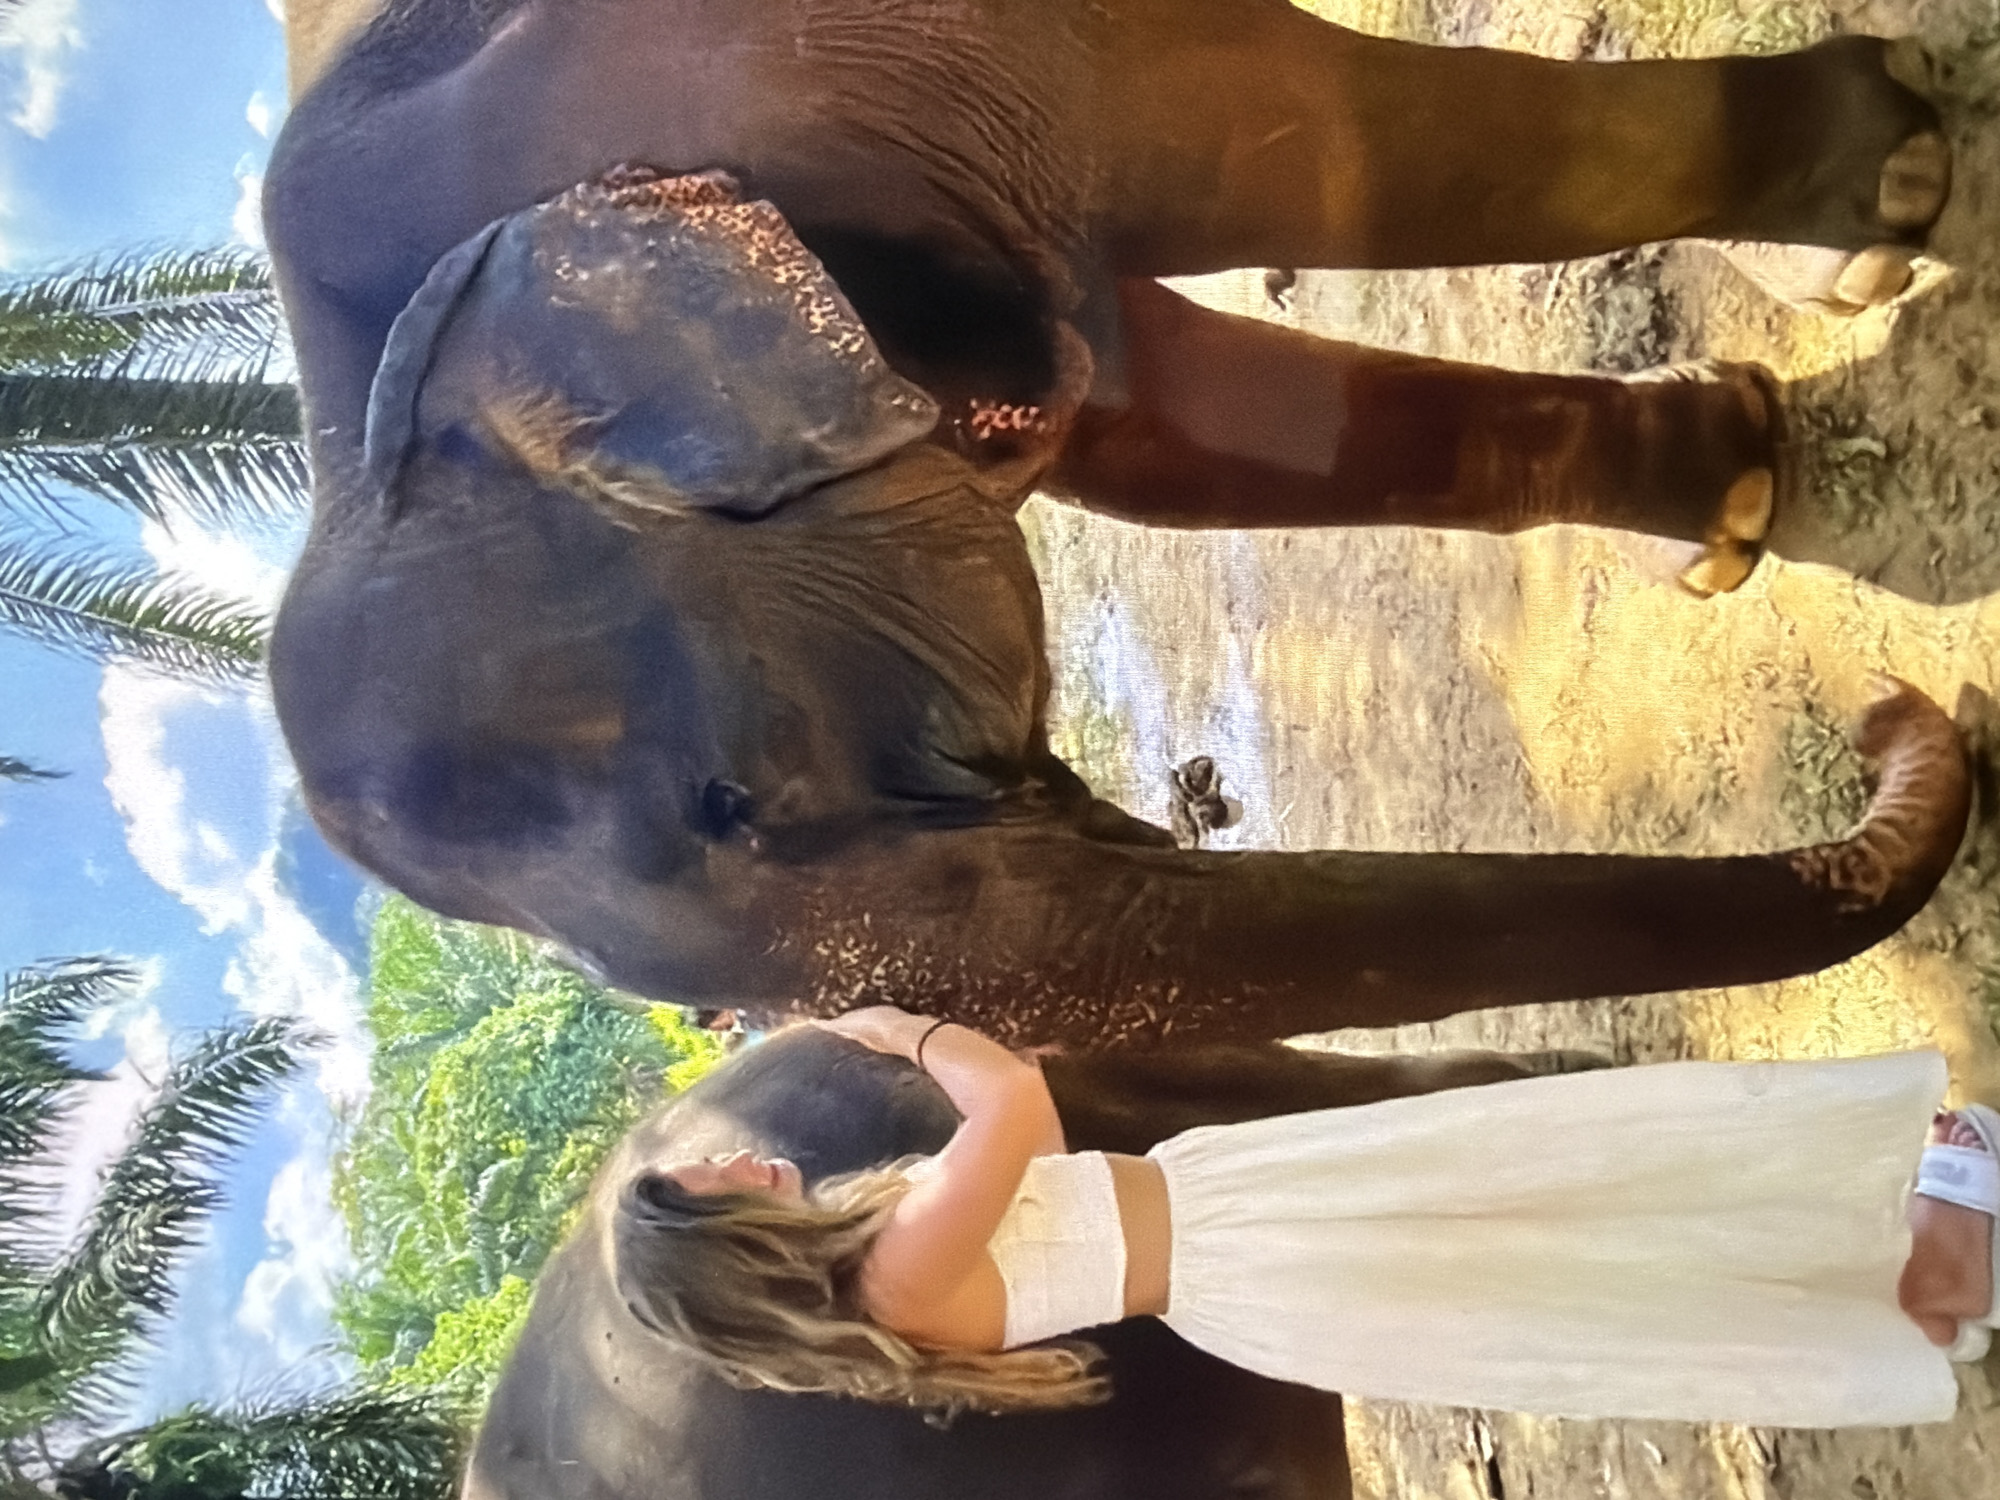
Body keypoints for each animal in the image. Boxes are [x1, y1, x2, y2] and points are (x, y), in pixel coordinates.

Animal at [264, 0, 1973, 1051]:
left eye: (738, 795)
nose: (1893, 713)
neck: (356, 420)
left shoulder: (812, 58)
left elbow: (1287, 146)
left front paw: (1881, 174)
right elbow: (1173, 423)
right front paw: (1737, 494)